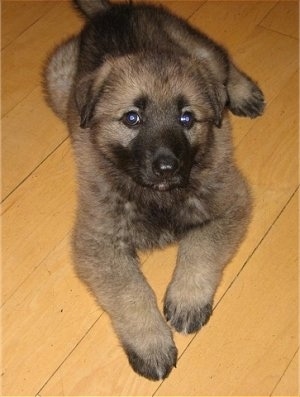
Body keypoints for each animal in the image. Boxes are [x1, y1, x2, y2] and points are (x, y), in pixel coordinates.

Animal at [43, 0, 264, 380]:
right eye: (132, 118)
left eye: (187, 118)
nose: (167, 167)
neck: (157, 194)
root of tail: (112, 12)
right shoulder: (100, 240)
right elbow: (131, 292)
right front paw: (151, 343)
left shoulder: (228, 202)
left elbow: (200, 248)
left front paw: (187, 298)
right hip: (58, 82)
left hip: (200, 50)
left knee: (222, 64)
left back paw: (242, 92)